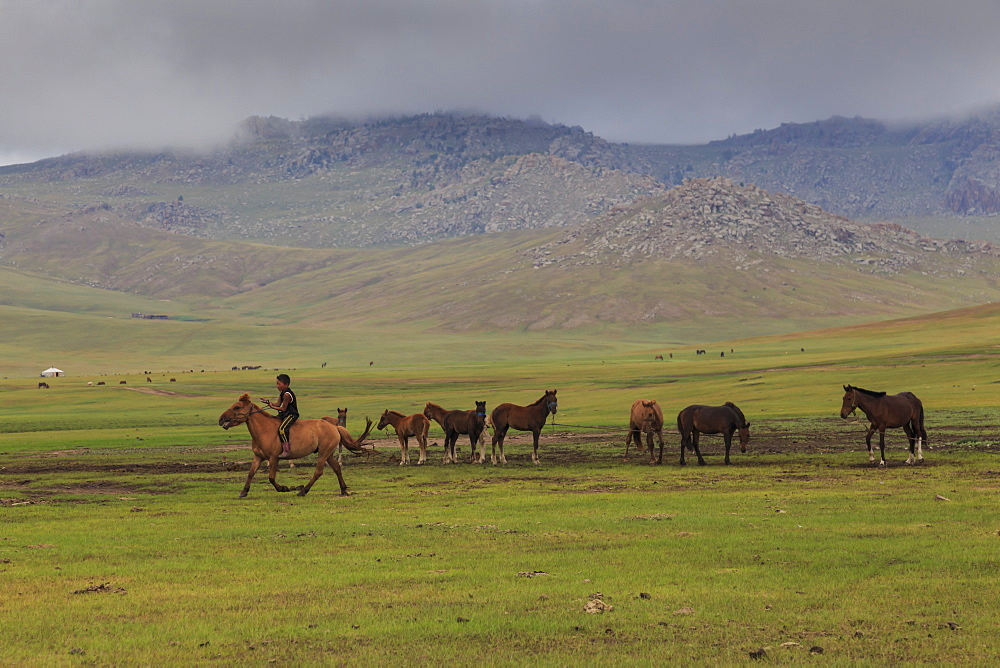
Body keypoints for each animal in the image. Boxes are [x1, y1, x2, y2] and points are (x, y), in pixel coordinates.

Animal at [218, 394, 372, 498]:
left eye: (237, 407)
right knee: (337, 468)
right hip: (328, 454)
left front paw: (284, 488)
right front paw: (244, 491)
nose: (221, 419)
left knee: (318, 472)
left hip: (323, 453)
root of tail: (335, 427)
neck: (264, 430)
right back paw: (343, 490)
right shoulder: (258, 457)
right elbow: (250, 473)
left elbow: (271, 477)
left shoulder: (274, 457)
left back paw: (303, 491)